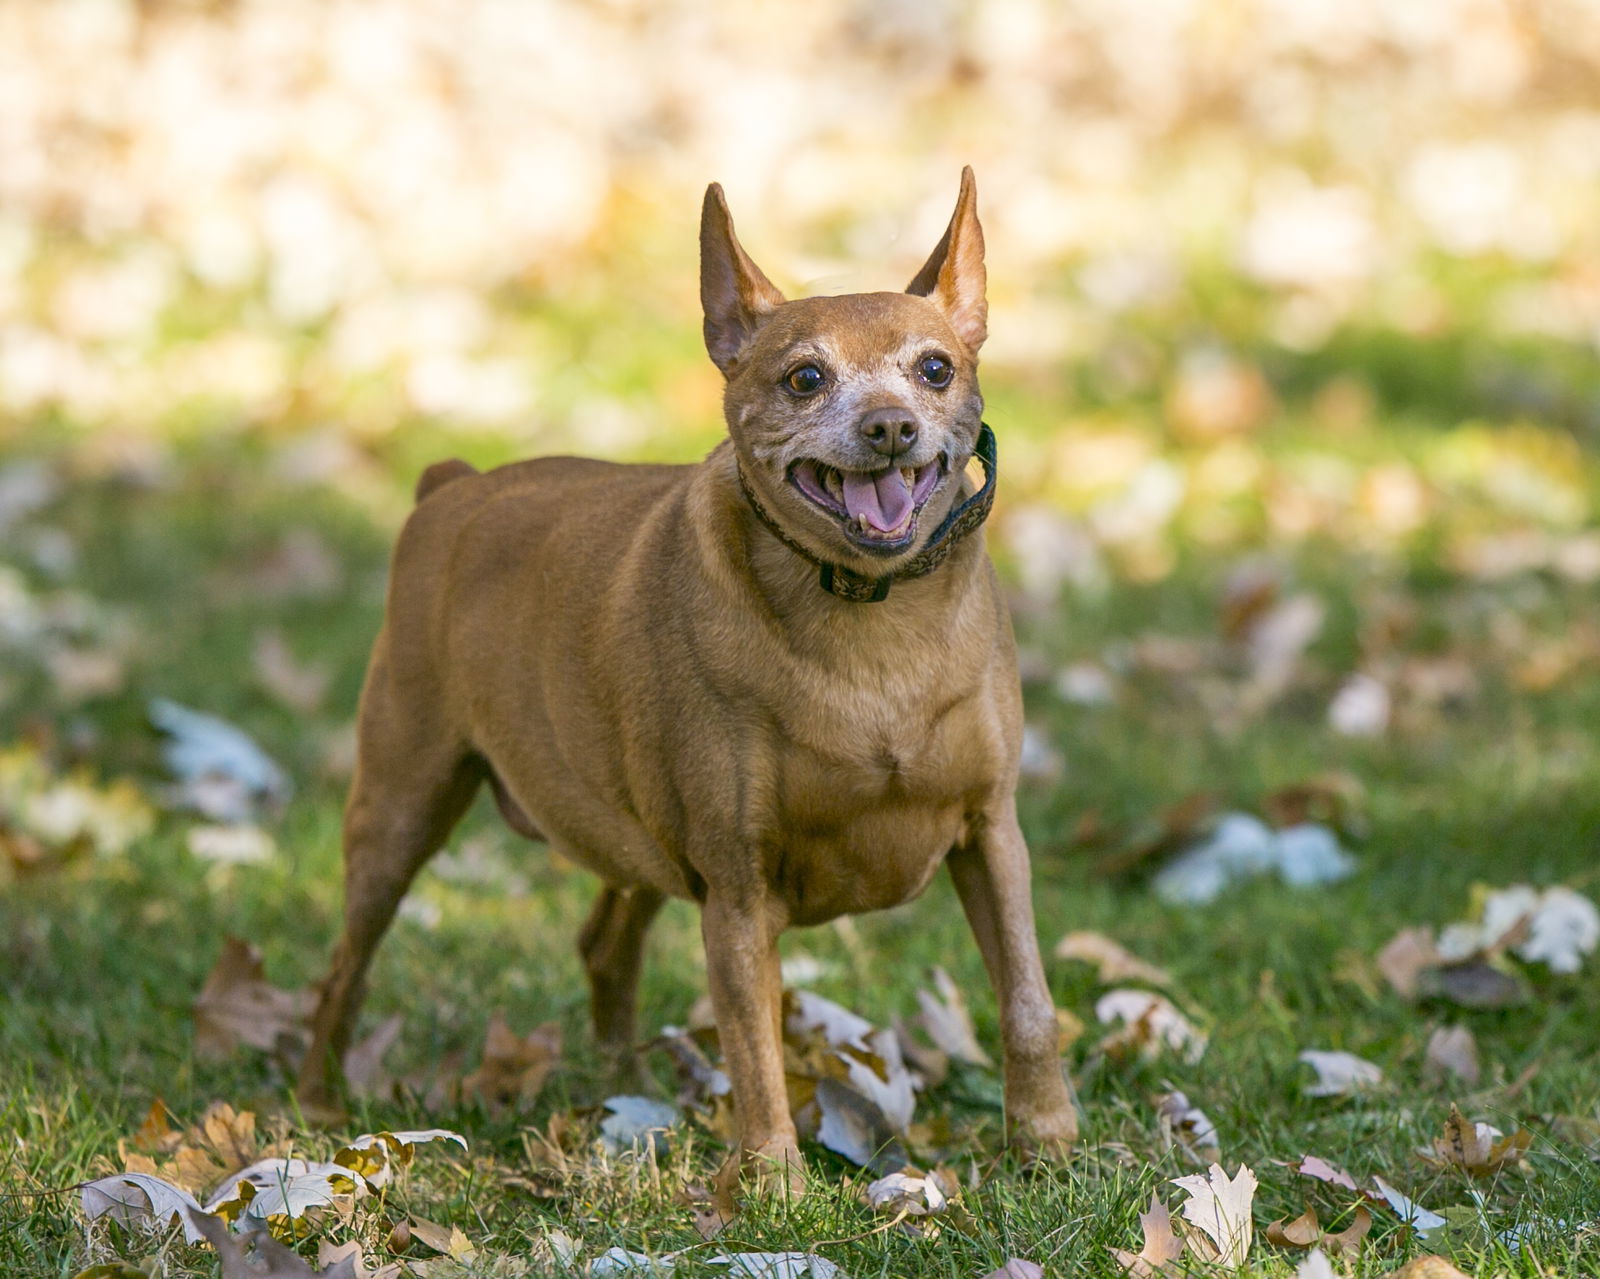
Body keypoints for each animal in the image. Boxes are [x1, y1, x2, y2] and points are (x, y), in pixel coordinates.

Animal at [296, 169, 1081, 1178]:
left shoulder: (993, 837)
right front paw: (776, 1180)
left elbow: (1027, 999)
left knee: (603, 943)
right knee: (343, 965)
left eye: (936, 368)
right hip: (402, 810)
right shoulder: (737, 890)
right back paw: (320, 1099)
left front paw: (1048, 1143)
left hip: (623, 823)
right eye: (804, 377)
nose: (890, 426)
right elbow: (753, 1042)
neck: (871, 624)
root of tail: (453, 486)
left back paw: (625, 1087)